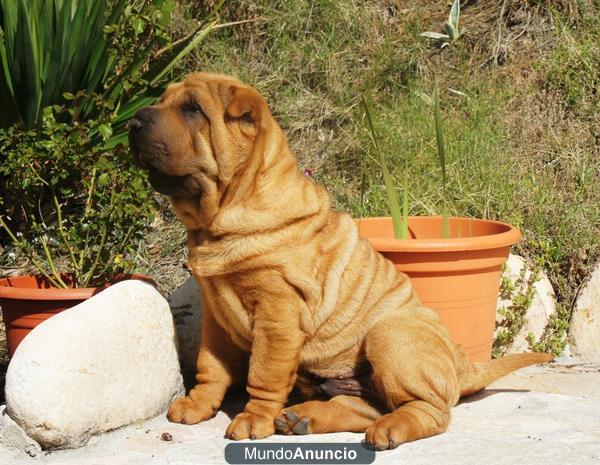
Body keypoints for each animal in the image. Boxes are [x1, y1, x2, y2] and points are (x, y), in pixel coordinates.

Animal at [131, 73, 552, 450]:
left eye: (192, 109)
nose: (134, 120)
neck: (220, 216)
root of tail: (461, 364)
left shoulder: (278, 314)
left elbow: (264, 372)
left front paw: (252, 420)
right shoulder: (217, 317)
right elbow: (211, 366)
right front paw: (197, 405)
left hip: (390, 335)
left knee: (429, 410)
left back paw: (386, 430)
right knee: (365, 407)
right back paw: (303, 418)